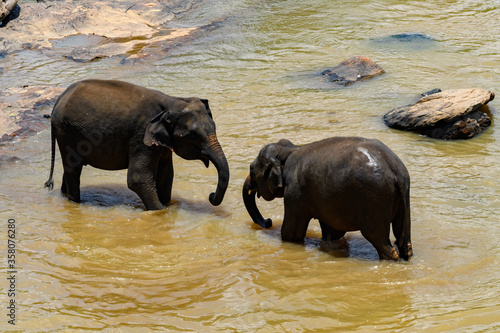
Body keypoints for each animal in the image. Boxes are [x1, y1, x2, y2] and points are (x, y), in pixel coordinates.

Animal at [44, 79, 229, 209]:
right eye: (193, 136)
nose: (211, 195)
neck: (172, 102)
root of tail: (58, 100)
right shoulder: (140, 136)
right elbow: (137, 178)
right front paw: (161, 210)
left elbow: (166, 174)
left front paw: (167, 205)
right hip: (66, 131)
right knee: (73, 169)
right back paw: (76, 202)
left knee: (71, 168)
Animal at [241, 136, 410, 260]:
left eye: (252, 170)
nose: (268, 221)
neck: (288, 150)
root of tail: (394, 169)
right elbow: (333, 232)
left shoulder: (295, 191)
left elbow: (291, 232)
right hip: (402, 194)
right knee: (404, 241)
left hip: (374, 198)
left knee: (378, 238)